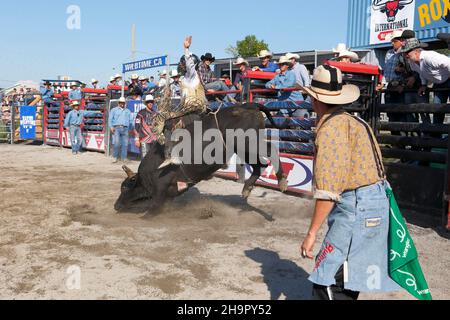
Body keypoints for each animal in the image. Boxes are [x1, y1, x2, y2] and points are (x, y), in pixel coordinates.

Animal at [113, 103, 288, 215]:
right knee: (260, 164)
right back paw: (247, 188)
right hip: (244, 149)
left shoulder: (160, 194)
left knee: (271, 150)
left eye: (124, 187)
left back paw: (281, 181)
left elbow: (150, 213)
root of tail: (249, 105)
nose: (116, 205)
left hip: (249, 142)